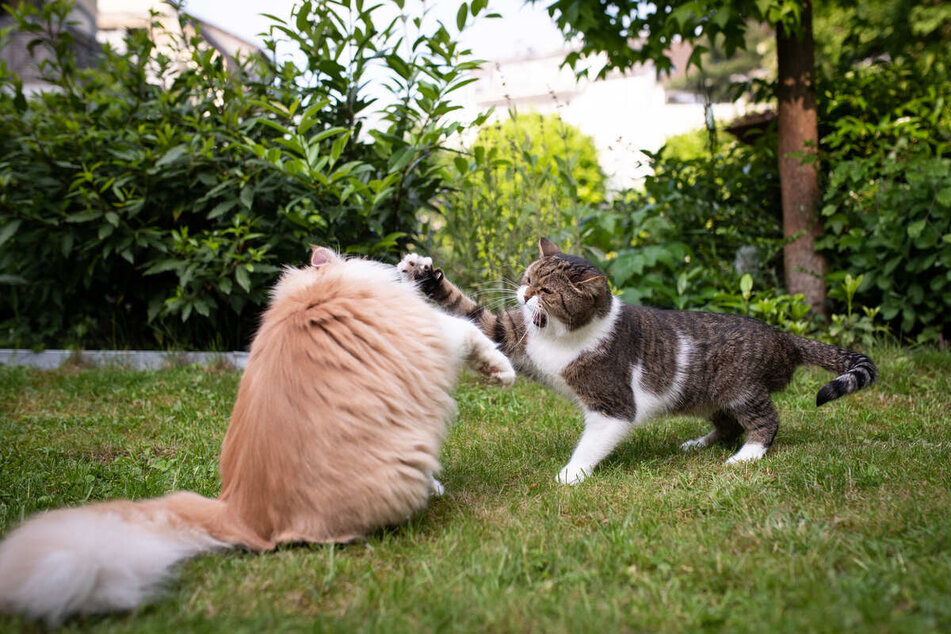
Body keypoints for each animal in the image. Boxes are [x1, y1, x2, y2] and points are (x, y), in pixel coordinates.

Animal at [0, 246, 512, 624]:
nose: (403, 266)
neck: (316, 288)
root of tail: (238, 511)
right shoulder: (434, 331)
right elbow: (469, 333)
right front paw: (500, 371)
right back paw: (433, 489)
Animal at [400, 238, 876, 484]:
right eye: (528, 277)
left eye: (548, 291)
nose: (523, 292)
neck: (559, 337)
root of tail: (782, 335)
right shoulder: (510, 335)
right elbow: (472, 312)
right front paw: (423, 273)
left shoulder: (613, 406)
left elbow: (592, 442)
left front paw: (571, 474)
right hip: (708, 396)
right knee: (725, 425)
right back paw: (699, 443)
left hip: (741, 389)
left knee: (765, 421)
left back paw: (746, 457)